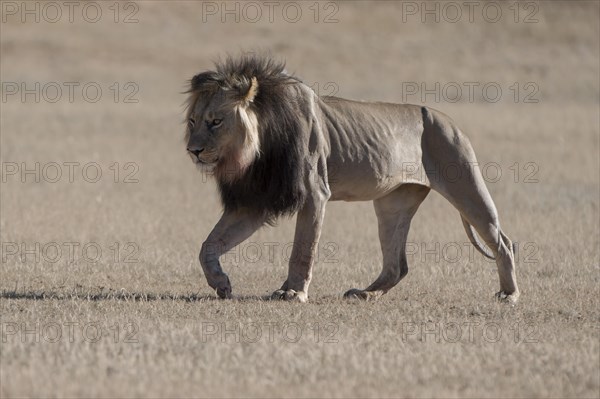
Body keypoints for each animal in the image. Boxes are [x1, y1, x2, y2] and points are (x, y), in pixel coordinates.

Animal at [184, 54, 520, 304]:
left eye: (216, 121)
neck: (256, 149)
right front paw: (221, 284)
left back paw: (509, 294)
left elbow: (302, 249)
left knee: (503, 242)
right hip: (393, 204)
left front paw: (292, 292)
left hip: (466, 184)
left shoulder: (314, 193)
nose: (193, 150)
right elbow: (208, 245)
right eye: (192, 121)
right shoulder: (256, 200)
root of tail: (450, 121)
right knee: (397, 265)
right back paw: (365, 293)